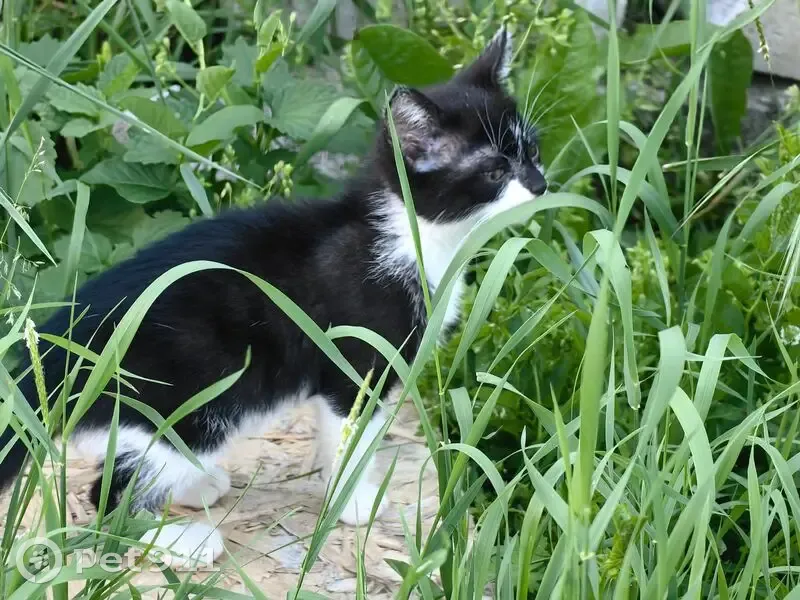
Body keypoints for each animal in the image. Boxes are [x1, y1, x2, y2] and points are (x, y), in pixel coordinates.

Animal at [0, 26, 546, 565]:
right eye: (496, 171)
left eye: (534, 152)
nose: (541, 186)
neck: (409, 234)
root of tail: (45, 362)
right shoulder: (357, 358)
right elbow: (351, 433)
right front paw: (353, 502)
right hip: (193, 393)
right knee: (107, 494)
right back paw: (179, 539)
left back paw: (195, 486)